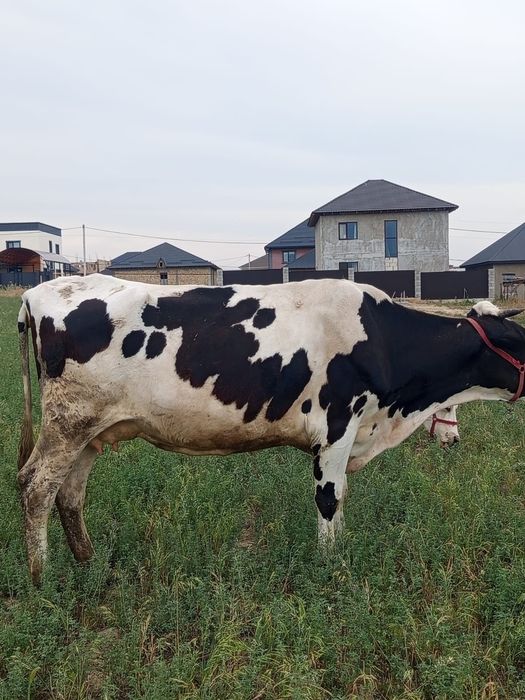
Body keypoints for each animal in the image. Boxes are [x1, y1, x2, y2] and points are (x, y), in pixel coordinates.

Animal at [17, 275, 525, 584]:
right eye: (520, 340)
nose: (453, 438)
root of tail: (39, 293)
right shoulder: (336, 428)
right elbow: (328, 500)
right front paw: (329, 568)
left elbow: (340, 500)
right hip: (66, 424)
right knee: (36, 487)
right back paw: (42, 579)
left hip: (90, 431)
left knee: (69, 493)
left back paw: (88, 564)